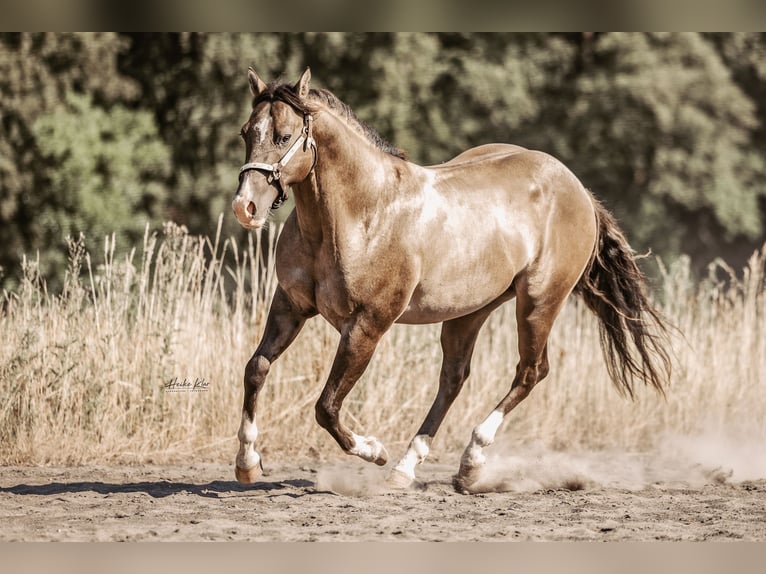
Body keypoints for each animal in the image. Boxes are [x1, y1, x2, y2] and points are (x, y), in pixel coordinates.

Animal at [231, 68, 671, 493]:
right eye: (246, 132)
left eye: (284, 136)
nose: (244, 207)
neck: (361, 215)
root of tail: (578, 189)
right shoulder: (291, 305)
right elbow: (256, 369)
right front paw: (247, 464)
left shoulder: (367, 326)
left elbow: (326, 407)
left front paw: (374, 450)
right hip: (469, 312)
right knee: (454, 378)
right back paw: (408, 469)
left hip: (539, 302)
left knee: (530, 372)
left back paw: (469, 462)